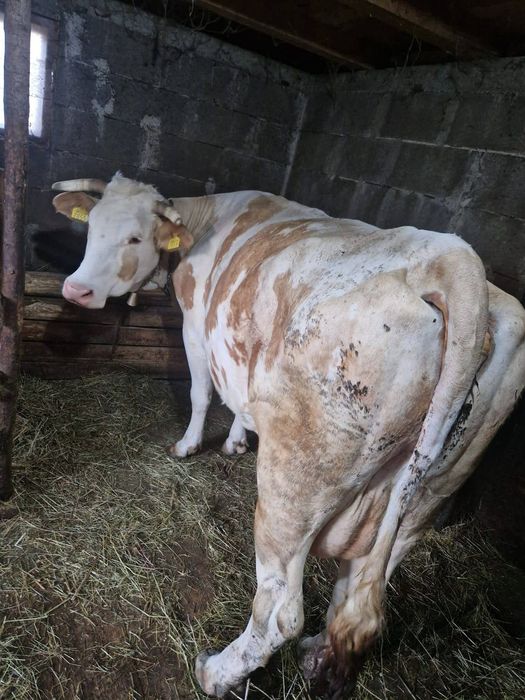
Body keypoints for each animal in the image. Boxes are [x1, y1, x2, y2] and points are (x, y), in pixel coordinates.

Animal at [51, 173, 525, 698]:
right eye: (91, 226)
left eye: (135, 238)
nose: (76, 289)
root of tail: (453, 260)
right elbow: (238, 400)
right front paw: (236, 440)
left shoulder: (196, 326)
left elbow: (202, 392)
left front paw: (188, 445)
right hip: (430, 492)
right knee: (362, 588)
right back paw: (316, 657)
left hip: (294, 485)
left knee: (281, 610)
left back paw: (216, 673)